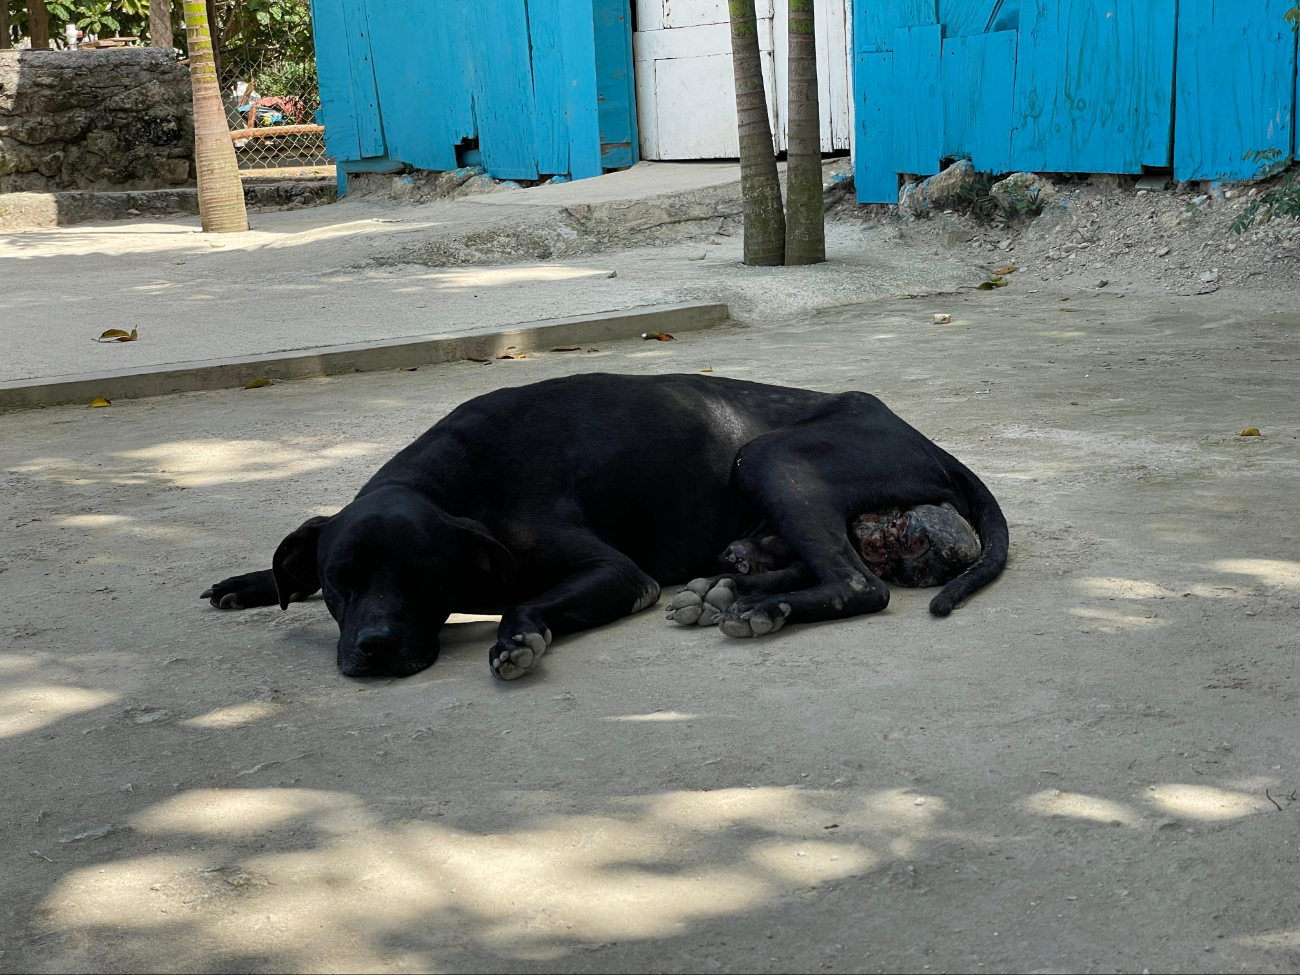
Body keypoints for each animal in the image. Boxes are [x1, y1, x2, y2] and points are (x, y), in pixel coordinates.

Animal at [200, 369, 1003, 681]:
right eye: (339, 582)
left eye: (423, 580)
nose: (374, 647)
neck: (454, 479)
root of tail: (927, 440)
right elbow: (287, 567)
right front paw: (251, 581)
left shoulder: (619, 575)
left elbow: (525, 603)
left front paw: (517, 638)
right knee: (788, 557)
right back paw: (730, 588)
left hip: (771, 455)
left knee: (858, 583)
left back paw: (758, 608)